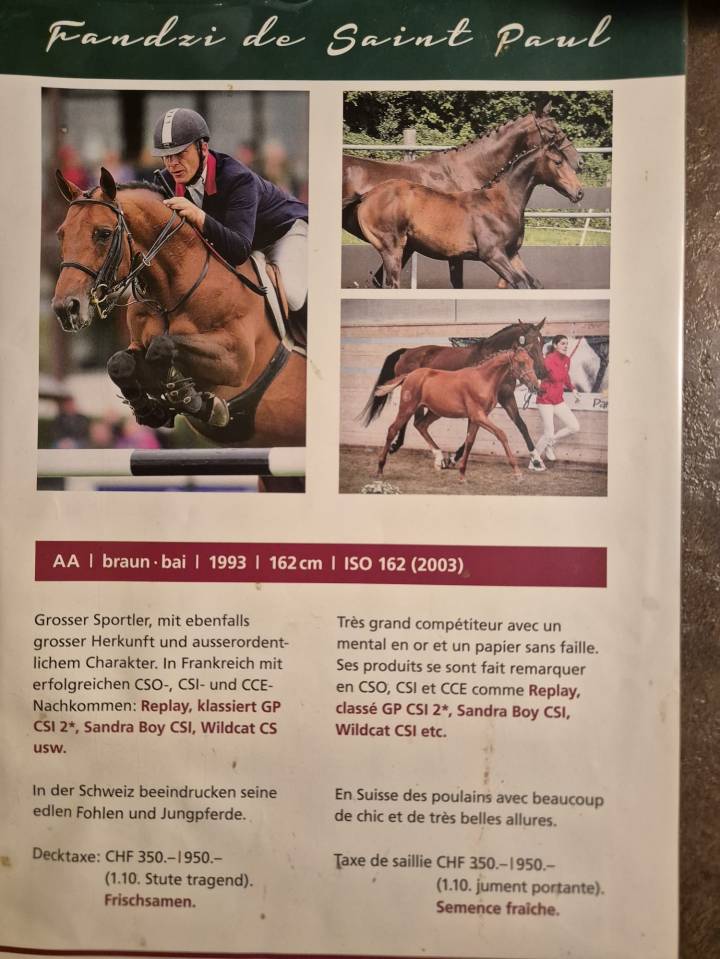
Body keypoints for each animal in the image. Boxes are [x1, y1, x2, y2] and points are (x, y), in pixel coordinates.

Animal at [51, 168, 306, 492]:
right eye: (61, 234)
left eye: (103, 233)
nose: (66, 309)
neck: (172, 291)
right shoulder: (137, 347)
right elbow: (119, 363)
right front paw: (152, 410)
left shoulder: (236, 360)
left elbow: (163, 346)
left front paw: (195, 400)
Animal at [342, 101, 581, 289]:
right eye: (554, 131)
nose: (579, 164)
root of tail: (366, 196)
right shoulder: (487, 254)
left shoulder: (510, 253)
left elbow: (532, 283)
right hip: (393, 248)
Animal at [360, 319, 547, 468]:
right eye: (530, 343)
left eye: (542, 341)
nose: (542, 372)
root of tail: (406, 351)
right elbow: (471, 432)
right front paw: (454, 458)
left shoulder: (506, 397)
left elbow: (521, 424)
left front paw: (537, 460)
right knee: (411, 420)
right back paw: (400, 447)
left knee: (416, 421)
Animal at [375, 349, 541, 481]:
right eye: (521, 363)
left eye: (532, 361)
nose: (535, 386)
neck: (483, 379)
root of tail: (409, 375)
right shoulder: (478, 416)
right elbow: (501, 434)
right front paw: (518, 474)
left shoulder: (476, 419)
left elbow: (469, 442)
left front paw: (462, 475)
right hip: (407, 408)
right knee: (392, 430)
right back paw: (380, 469)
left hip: (434, 412)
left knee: (420, 425)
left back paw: (440, 458)